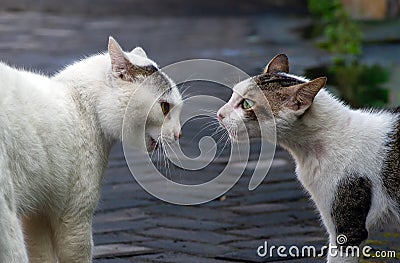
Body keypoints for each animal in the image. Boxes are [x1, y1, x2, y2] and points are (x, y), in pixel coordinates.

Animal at [0, 36, 181, 262]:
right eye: (164, 107)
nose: (179, 133)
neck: (80, 103)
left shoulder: (38, 214)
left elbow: (42, 256)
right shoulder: (75, 216)